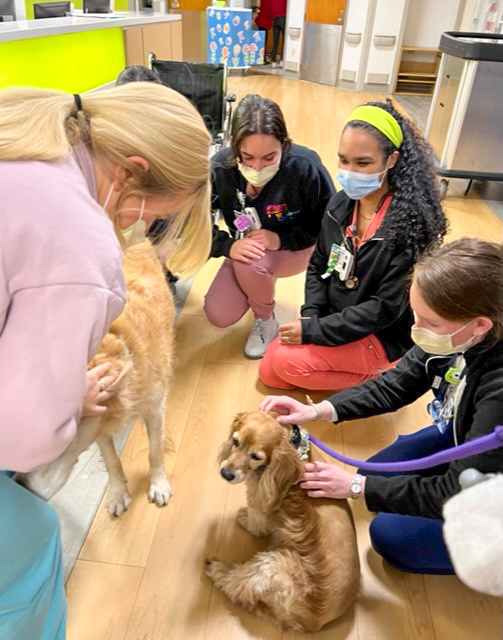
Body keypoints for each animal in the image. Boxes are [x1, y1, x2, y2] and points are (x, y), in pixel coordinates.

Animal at [17, 245, 175, 516]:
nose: (19, 485)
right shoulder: (100, 424)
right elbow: (111, 459)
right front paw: (118, 492)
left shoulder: (155, 408)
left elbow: (155, 451)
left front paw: (158, 483)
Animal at [206, 412, 362, 632]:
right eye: (235, 442)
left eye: (256, 457)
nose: (226, 474)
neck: (295, 447)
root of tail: (314, 622)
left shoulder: (260, 497)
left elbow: (256, 521)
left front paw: (244, 517)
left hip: (271, 566)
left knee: (236, 585)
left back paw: (217, 569)